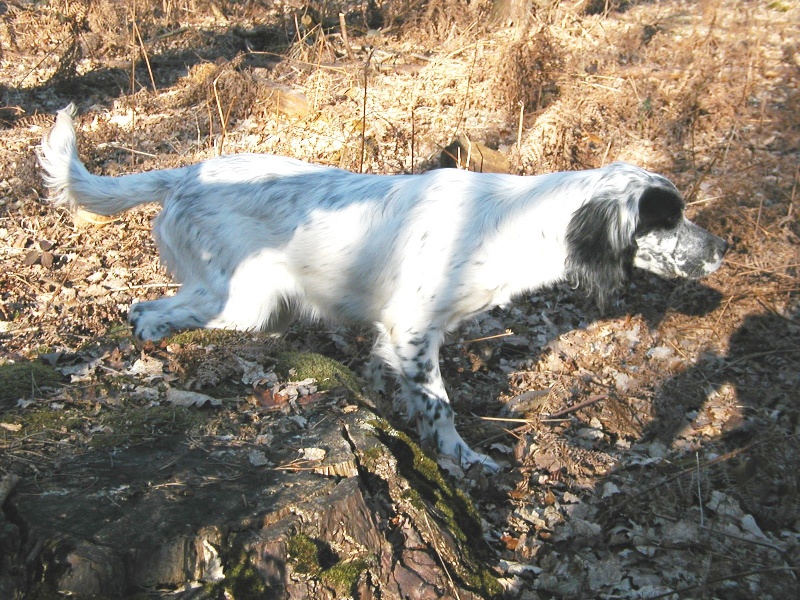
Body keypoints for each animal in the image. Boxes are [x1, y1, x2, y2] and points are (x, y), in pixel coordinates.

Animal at [37, 105, 728, 474]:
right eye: (668, 218)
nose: (723, 249)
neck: (510, 222)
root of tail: (184, 173)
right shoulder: (415, 329)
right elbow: (441, 408)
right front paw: (463, 460)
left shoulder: (390, 335)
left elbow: (383, 380)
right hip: (243, 301)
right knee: (147, 310)